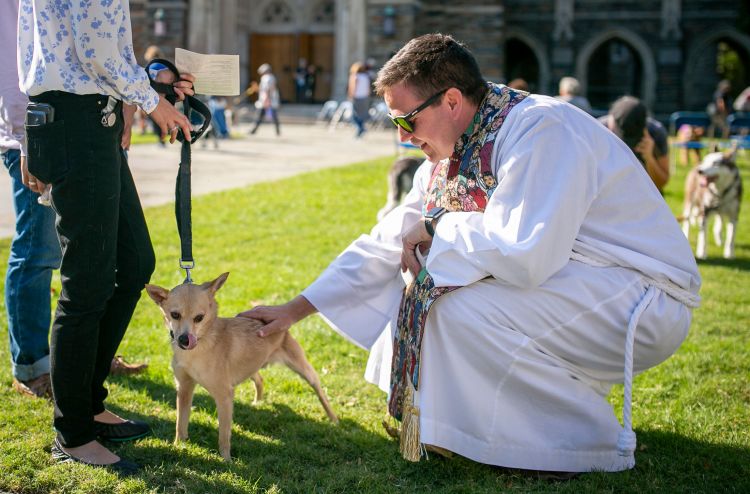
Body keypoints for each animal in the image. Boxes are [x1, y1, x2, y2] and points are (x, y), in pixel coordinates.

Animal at [145, 272, 340, 462]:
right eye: (175, 315)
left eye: (199, 318)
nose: (184, 339)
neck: (200, 345)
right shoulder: (184, 388)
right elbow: (181, 423)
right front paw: (178, 446)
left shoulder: (224, 396)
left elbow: (224, 434)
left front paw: (226, 460)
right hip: (251, 367)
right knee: (260, 378)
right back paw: (257, 402)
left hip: (303, 369)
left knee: (319, 390)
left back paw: (333, 418)